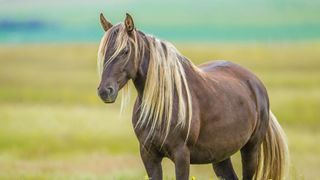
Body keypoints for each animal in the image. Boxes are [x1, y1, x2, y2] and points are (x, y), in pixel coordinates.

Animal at [96, 13, 288, 180]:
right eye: (104, 52)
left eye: (125, 51)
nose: (105, 91)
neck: (163, 102)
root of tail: (255, 82)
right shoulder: (148, 154)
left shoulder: (181, 155)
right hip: (220, 155)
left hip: (250, 149)